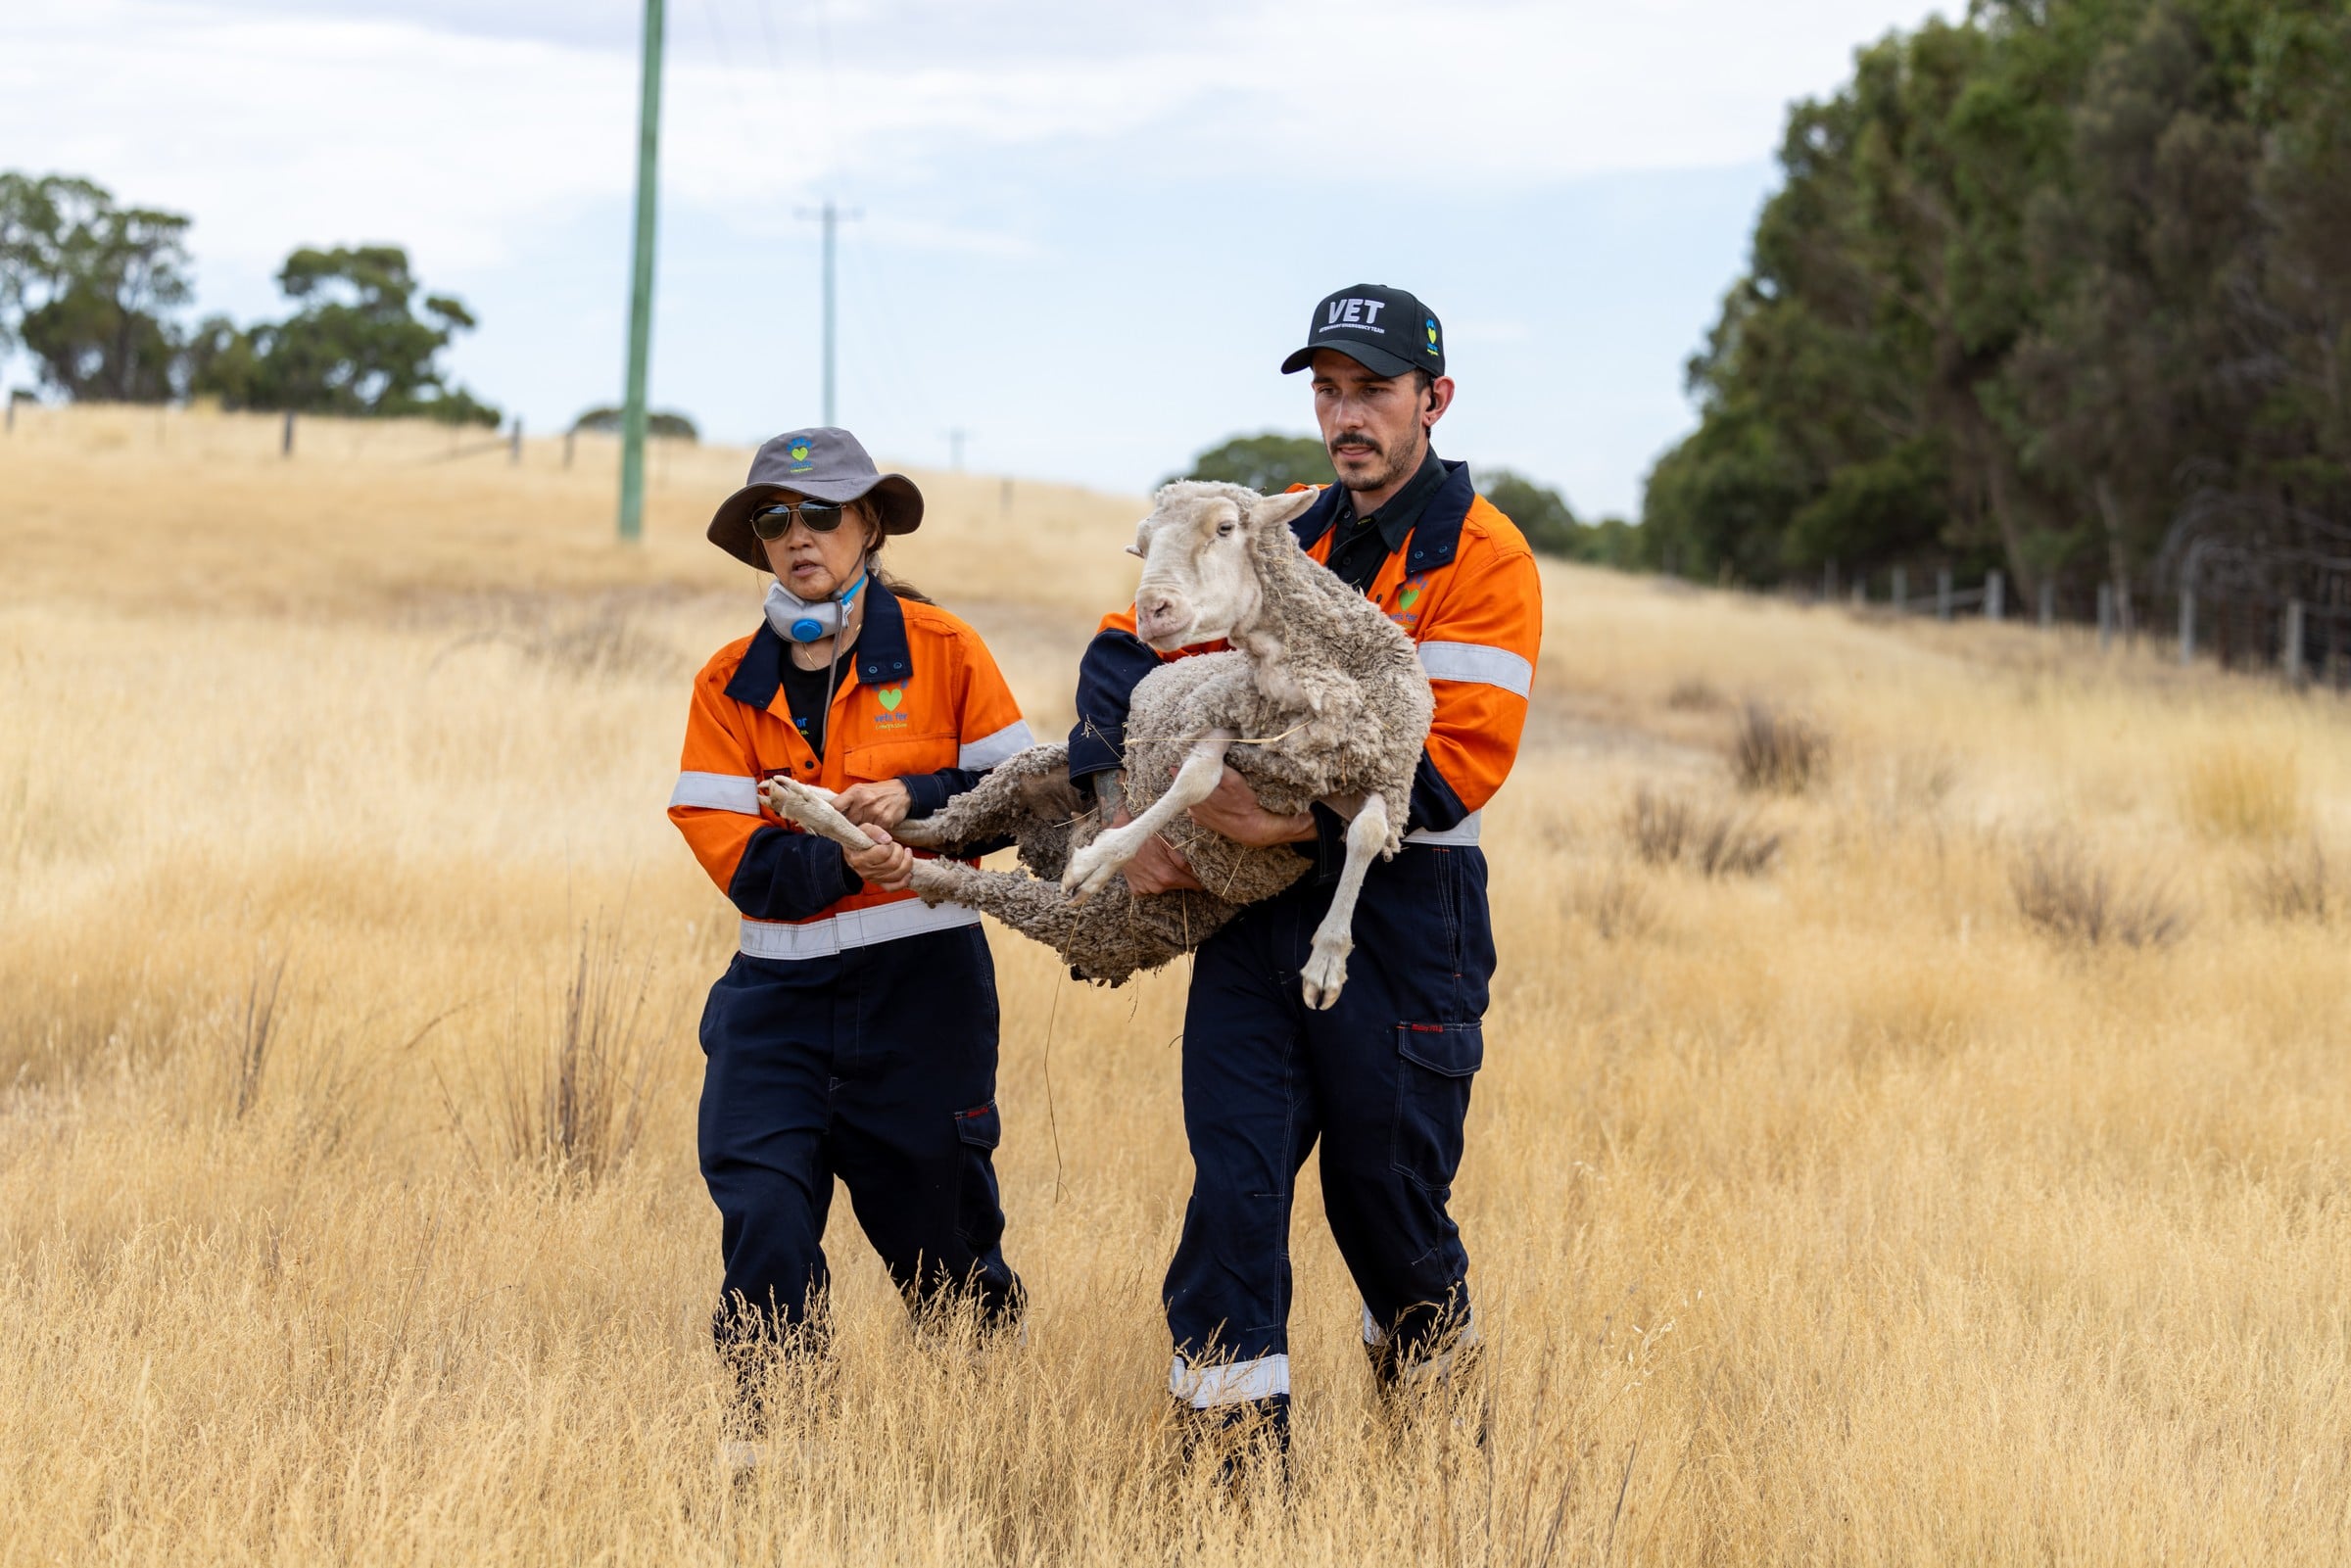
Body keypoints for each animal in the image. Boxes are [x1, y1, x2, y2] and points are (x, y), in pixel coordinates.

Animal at [761, 480, 1434, 1008]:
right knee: (932, 847)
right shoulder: (1214, 717)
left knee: (923, 843)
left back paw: (834, 810)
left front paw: (1328, 961)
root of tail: (1048, 838)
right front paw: (1105, 855)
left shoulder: (1389, 775)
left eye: (1224, 527)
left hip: (1078, 900)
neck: (1306, 676)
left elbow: (1368, 834)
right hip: (1036, 813)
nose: (1151, 610)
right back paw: (815, 804)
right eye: (1142, 546)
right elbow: (1195, 780)